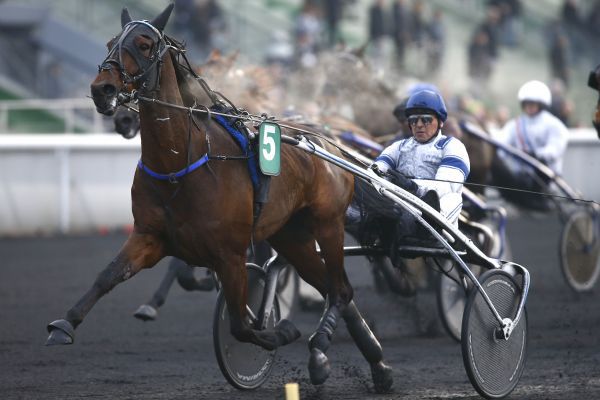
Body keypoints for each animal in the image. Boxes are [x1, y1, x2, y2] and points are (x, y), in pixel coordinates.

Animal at [47, 4, 394, 392]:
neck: (180, 163)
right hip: (291, 235)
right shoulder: (150, 235)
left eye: (144, 44)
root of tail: (327, 142)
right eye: (111, 43)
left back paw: (323, 350)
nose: (102, 89)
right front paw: (65, 323)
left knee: (340, 291)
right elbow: (109, 275)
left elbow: (242, 324)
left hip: (328, 223)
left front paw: (280, 331)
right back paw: (373, 365)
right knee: (334, 288)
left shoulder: (230, 252)